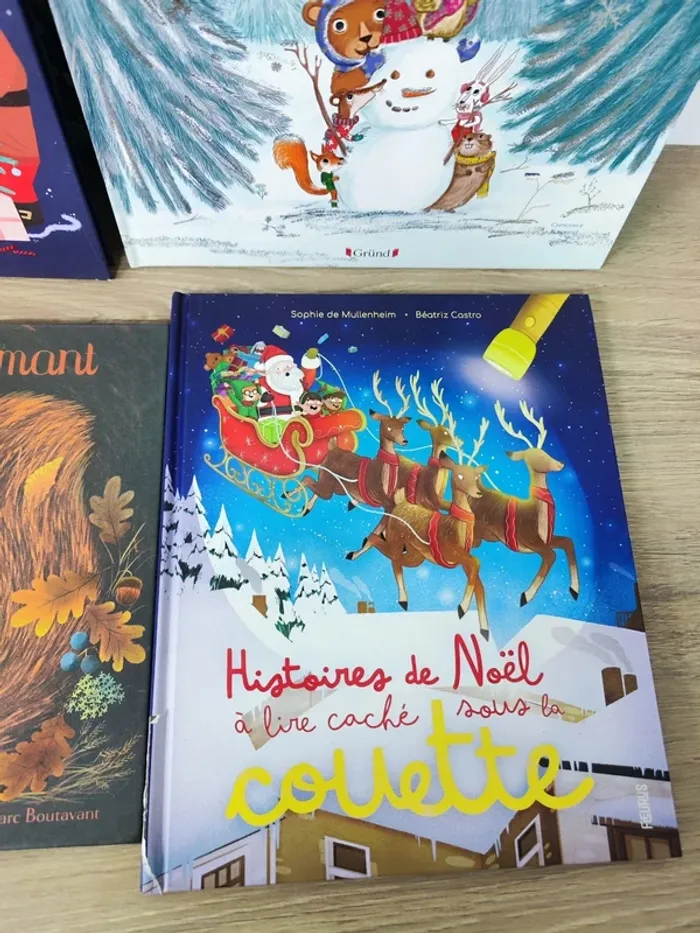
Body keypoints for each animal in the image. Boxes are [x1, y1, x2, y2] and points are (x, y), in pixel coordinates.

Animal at [349, 452, 491, 640]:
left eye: (476, 476)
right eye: (460, 475)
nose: (478, 492)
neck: (455, 526)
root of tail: (401, 502)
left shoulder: (462, 562)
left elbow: (480, 585)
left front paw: (485, 630)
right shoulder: (452, 552)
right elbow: (476, 562)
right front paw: (462, 608)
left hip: (415, 556)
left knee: (393, 556)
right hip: (398, 541)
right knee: (384, 548)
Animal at [470, 400, 580, 607]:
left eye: (546, 451)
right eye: (538, 456)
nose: (561, 463)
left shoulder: (547, 539)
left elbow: (568, 542)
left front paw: (575, 590)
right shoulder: (530, 540)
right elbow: (551, 556)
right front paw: (525, 596)